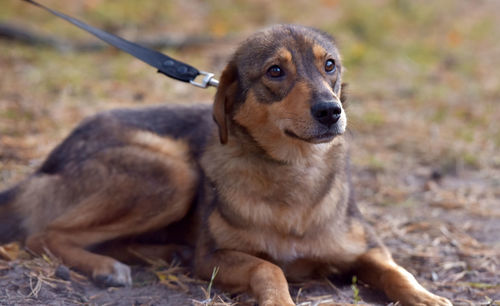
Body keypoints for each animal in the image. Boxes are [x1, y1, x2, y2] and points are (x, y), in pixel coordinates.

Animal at [0, 25, 452, 304]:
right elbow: (270, 268)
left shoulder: (369, 249)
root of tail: (50, 160)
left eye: (330, 65)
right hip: (174, 174)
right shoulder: (215, 258)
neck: (293, 175)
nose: (330, 111)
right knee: (42, 233)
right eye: (275, 71)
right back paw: (105, 267)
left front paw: (428, 297)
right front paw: (280, 300)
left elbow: (397, 273)